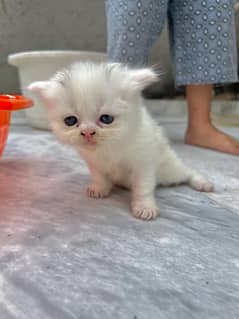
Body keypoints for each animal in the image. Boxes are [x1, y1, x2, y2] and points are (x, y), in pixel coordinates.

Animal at [28, 63, 213, 222]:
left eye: (106, 119)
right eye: (70, 121)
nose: (87, 132)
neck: (110, 146)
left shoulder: (143, 163)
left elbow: (143, 187)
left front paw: (144, 207)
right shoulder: (94, 162)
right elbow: (99, 176)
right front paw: (100, 188)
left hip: (169, 171)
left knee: (187, 172)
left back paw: (202, 183)